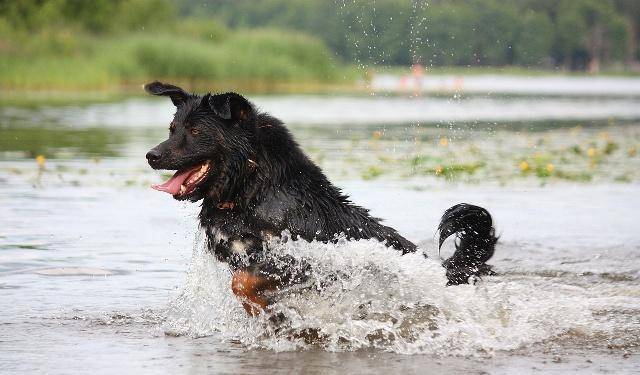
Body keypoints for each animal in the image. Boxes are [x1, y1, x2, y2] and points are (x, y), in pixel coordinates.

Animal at [146, 83, 500, 318]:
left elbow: (244, 283)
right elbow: (242, 284)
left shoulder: (301, 259)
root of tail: (442, 272)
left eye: (195, 131)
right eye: (172, 128)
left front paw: (267, 309)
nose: (152, 155)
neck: (254, 190)